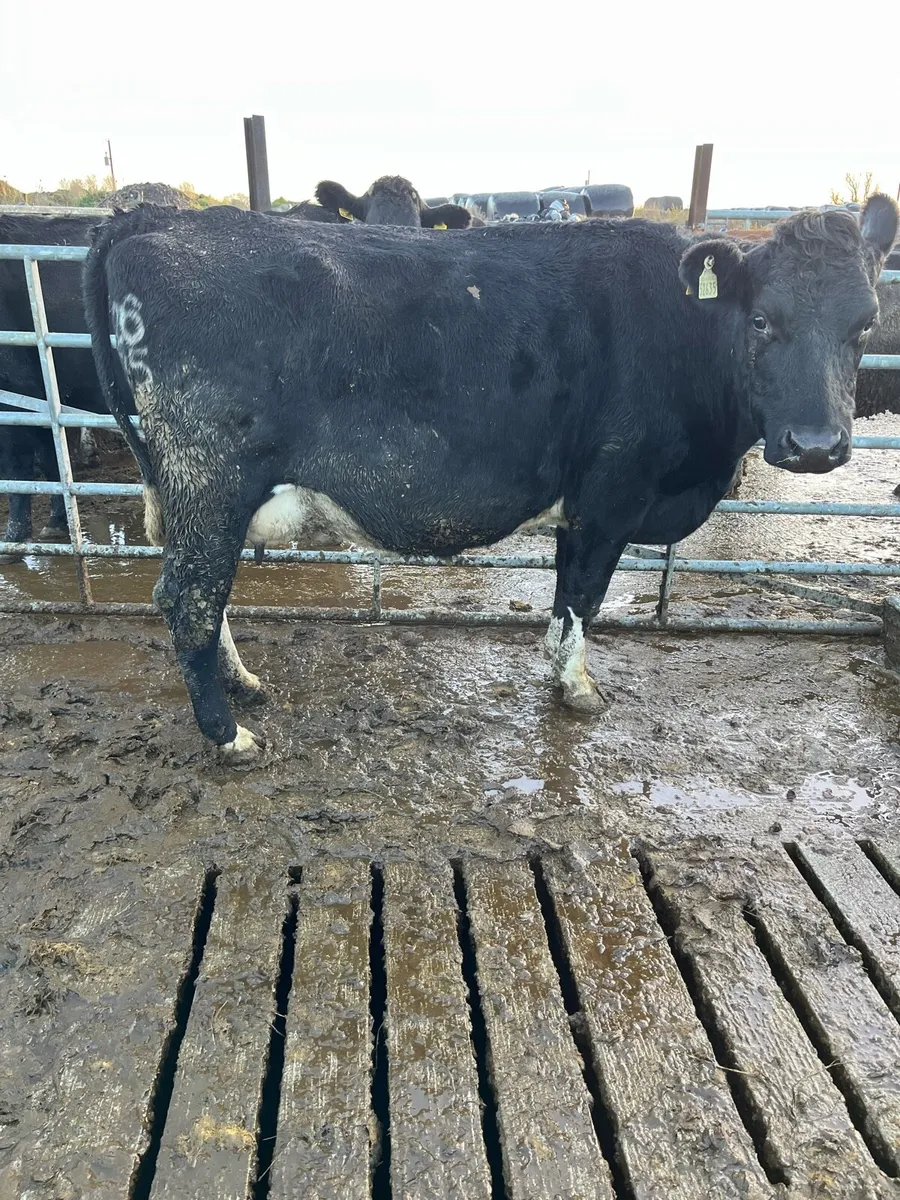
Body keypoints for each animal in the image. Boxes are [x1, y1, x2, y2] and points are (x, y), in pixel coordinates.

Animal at [83, 195, 899, 762]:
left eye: (865, 323)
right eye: (762, 320)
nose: (816, 446)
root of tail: (148, 218)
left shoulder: (581, 504)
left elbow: (566, 598)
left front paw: (561, 673)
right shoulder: (612, 495)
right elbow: (583, 598)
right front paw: (577, 689)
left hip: (186, 490)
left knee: (203, 596)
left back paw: (243, 686)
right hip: (209, 479)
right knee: (188, 599)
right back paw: (229, 738)